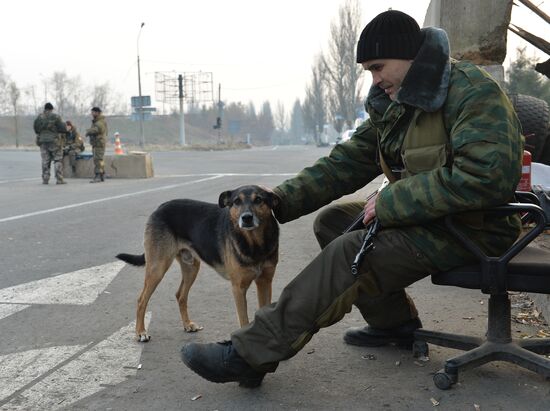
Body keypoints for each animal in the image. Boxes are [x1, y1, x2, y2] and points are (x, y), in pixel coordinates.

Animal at [116, 185, 280, 342]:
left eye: (258, 200)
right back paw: (141, 332)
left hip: (191, 267)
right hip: (158, 268)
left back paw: (187, 325)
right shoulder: (238, 288)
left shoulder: (265, 282)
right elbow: (244, 321)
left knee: (180, 295)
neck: (255, 244)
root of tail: (160, 207)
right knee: (141, 300)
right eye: (236, 202)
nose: (246, 218)